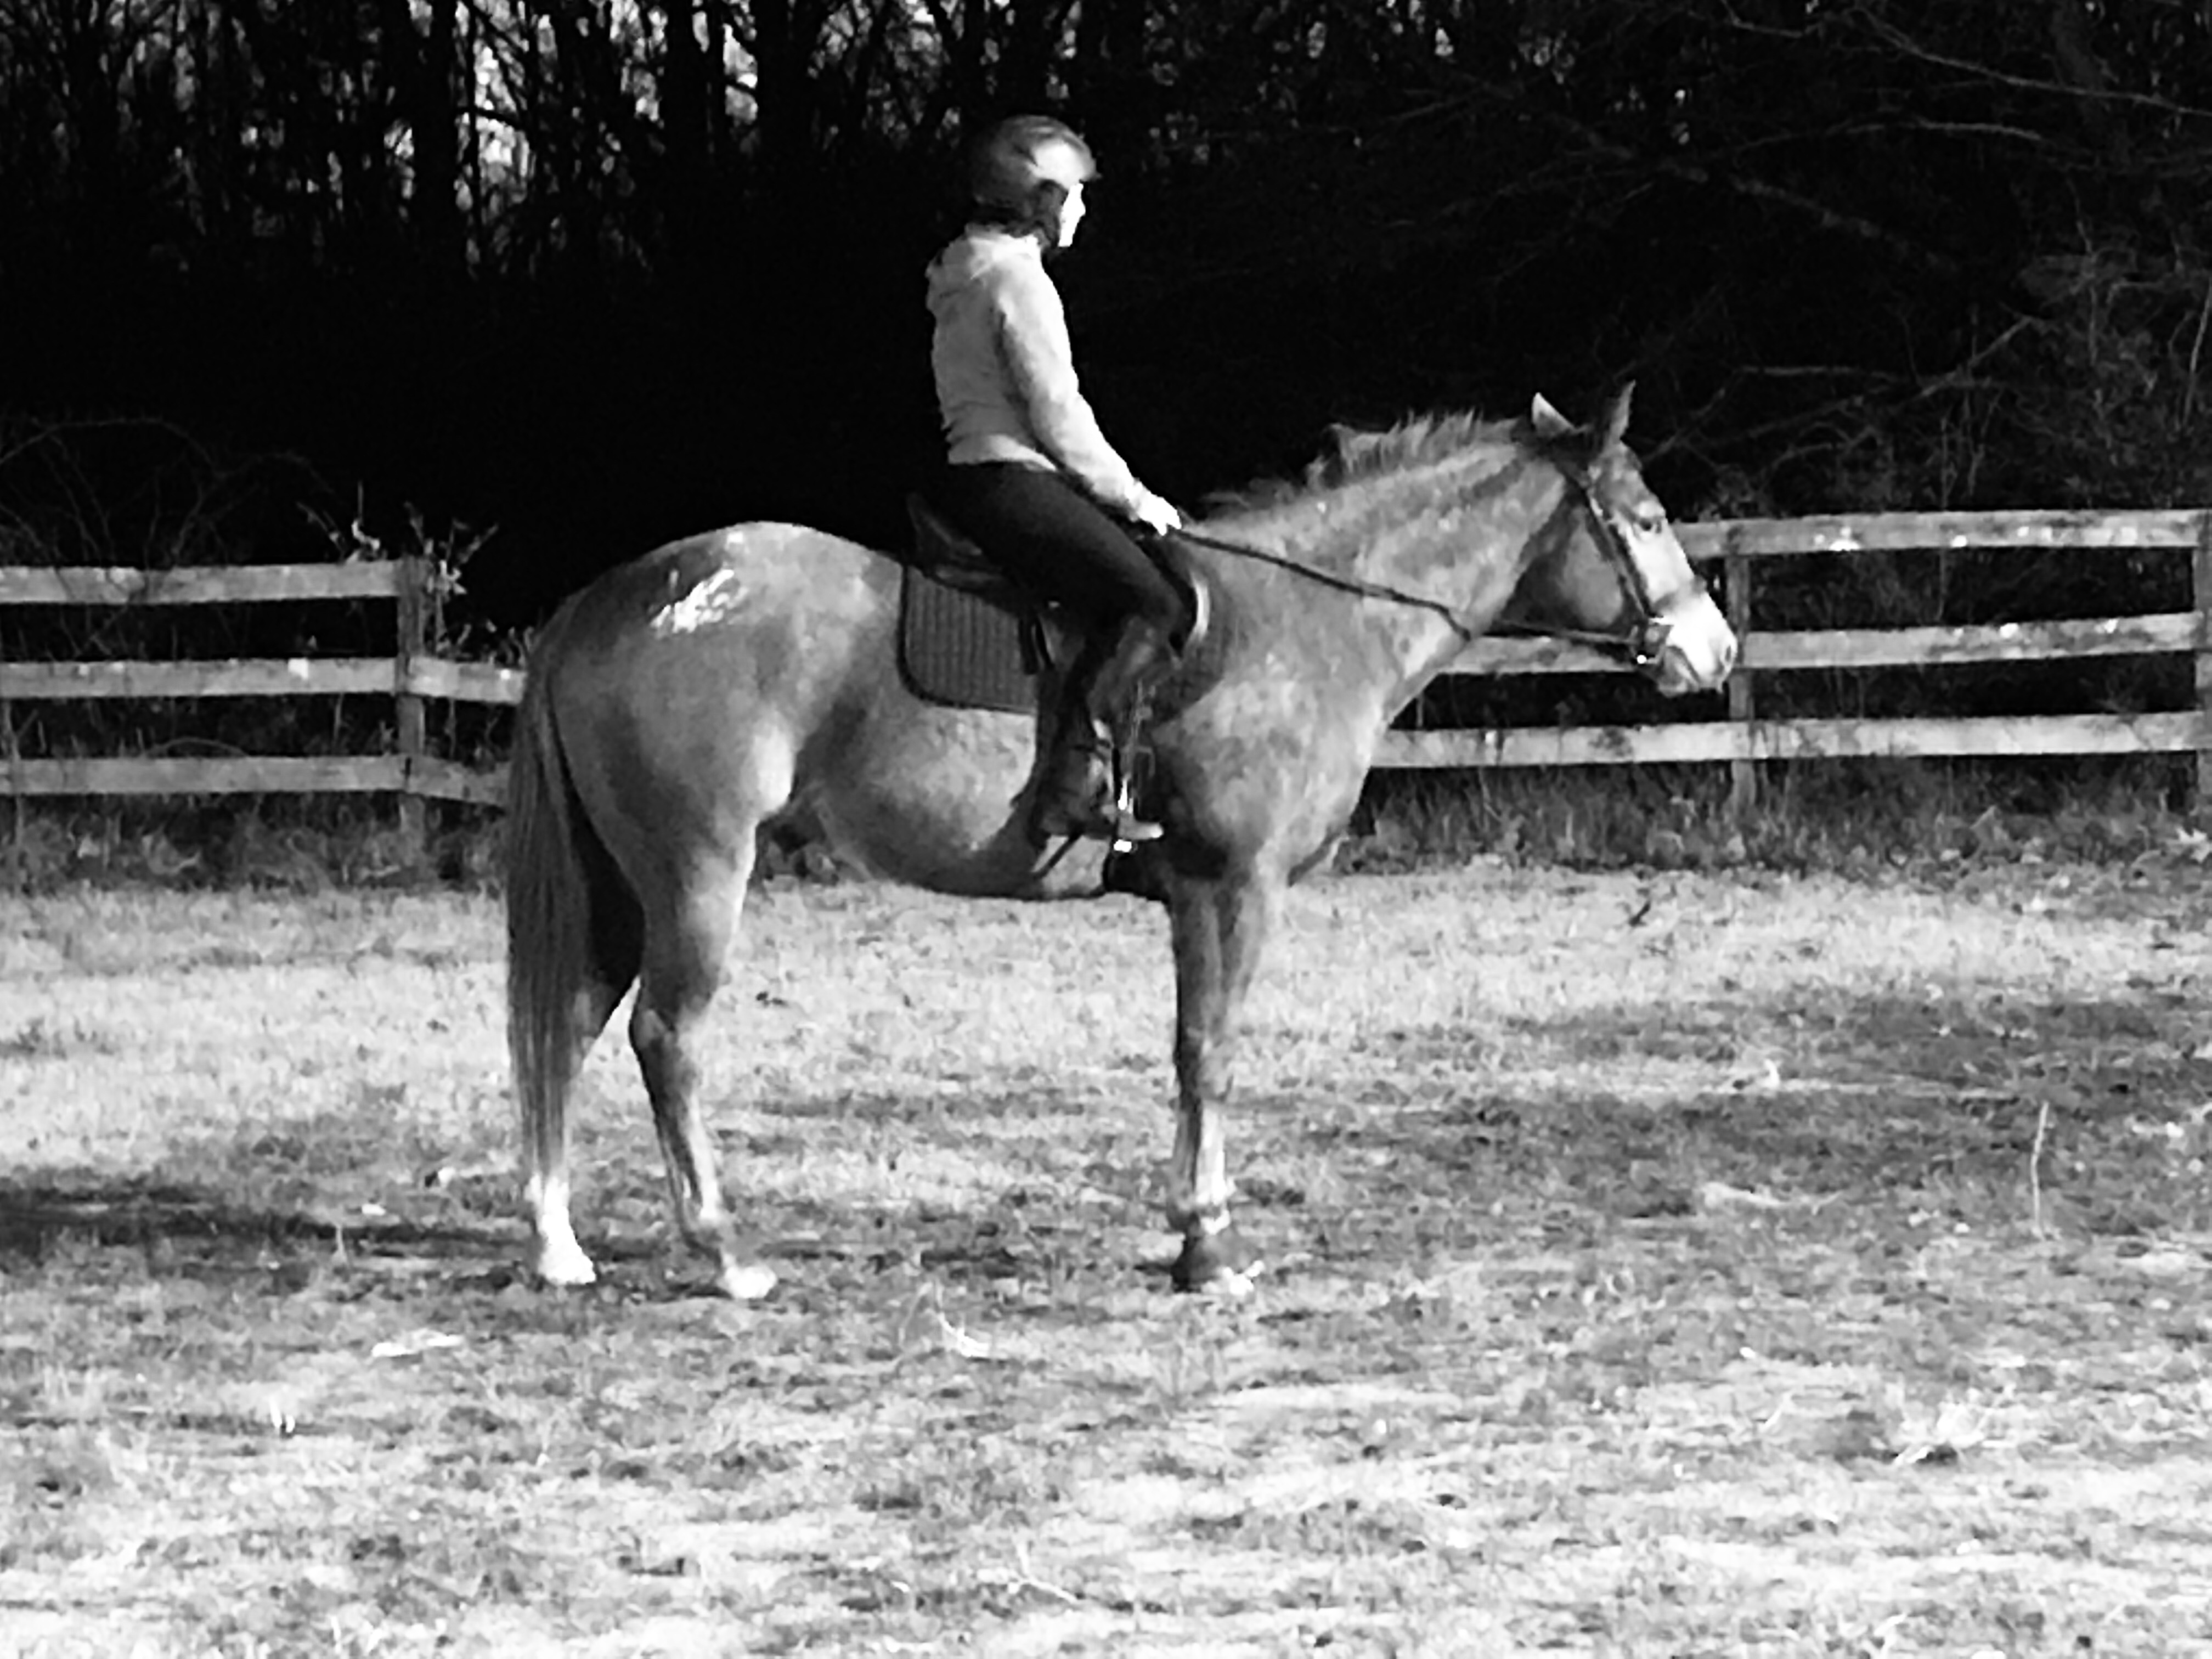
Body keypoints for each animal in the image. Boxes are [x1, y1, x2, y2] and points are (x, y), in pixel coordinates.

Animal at [504, 386, 1738, 1298]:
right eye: (1644, 519)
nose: (1712, 651)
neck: (1314, 619)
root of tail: (620, 596)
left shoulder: (1200, 893)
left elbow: (1194, 1051)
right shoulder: (1231, 887)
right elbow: (1209, 1052)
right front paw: (1208, 1242)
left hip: (625, 883)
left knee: (568, 1023)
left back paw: (560, 1245)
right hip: (697, 875)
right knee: (665, 1038)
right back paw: (725, 1252)